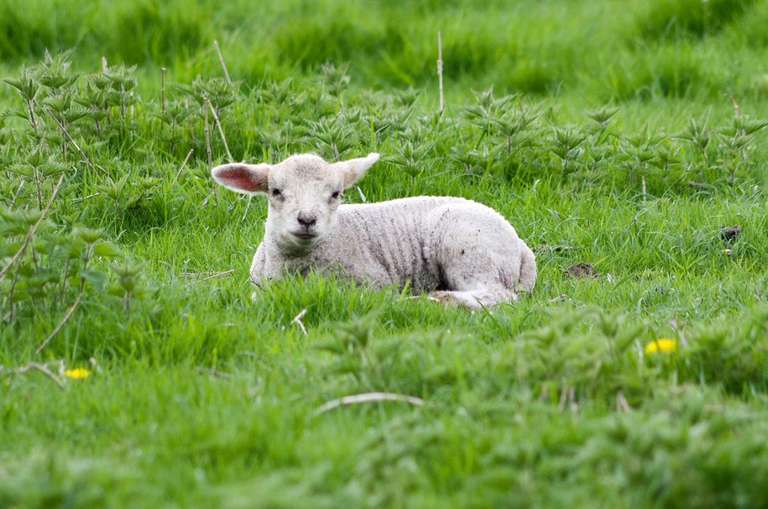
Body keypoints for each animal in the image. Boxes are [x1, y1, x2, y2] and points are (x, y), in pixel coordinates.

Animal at [211, 153, 536, 309]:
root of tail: (521, 246)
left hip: (468, 247)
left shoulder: (373, 281)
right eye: (276, 191)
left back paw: (436, 300)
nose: (307, 220)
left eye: (336, 194)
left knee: (496, 294)